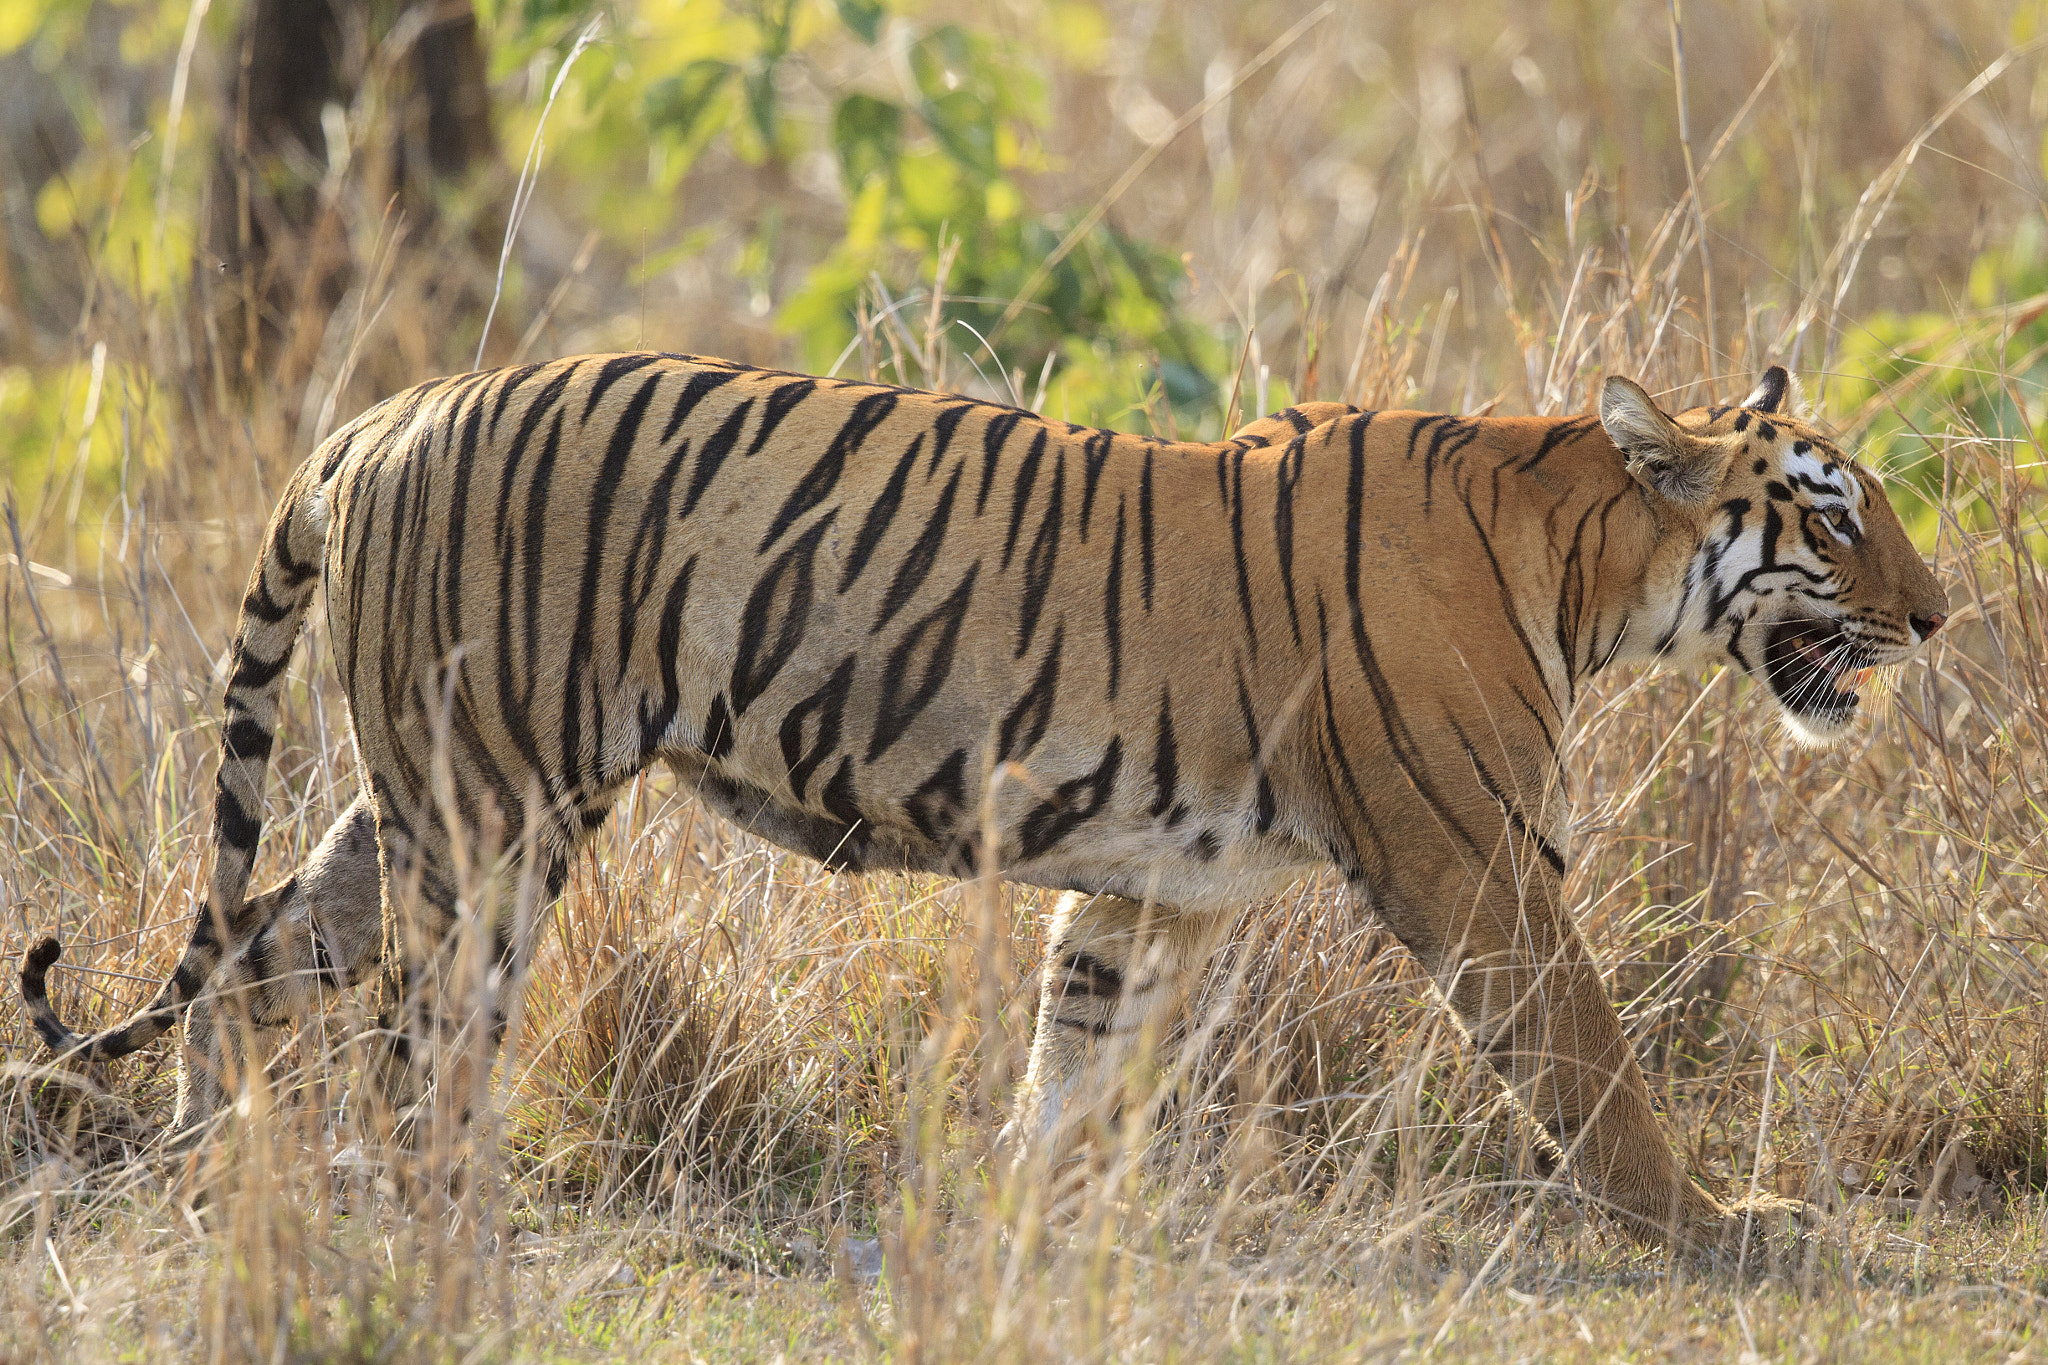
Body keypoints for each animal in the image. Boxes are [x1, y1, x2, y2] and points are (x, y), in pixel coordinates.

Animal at [19, 356, 1933, 1252]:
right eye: (1831, 513)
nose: (1940, 618)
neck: (1585, 562)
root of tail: (383, 413)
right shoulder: (1475, 865)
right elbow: (1594, 1064)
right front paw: (1716, 1233)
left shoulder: (1151, 889)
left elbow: (1068, 1070)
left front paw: (1011, 1218)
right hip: (497, 808)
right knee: (417, 1033)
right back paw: (422, 1206)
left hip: (434, 795)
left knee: (263, 948)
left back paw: (227, 1164)